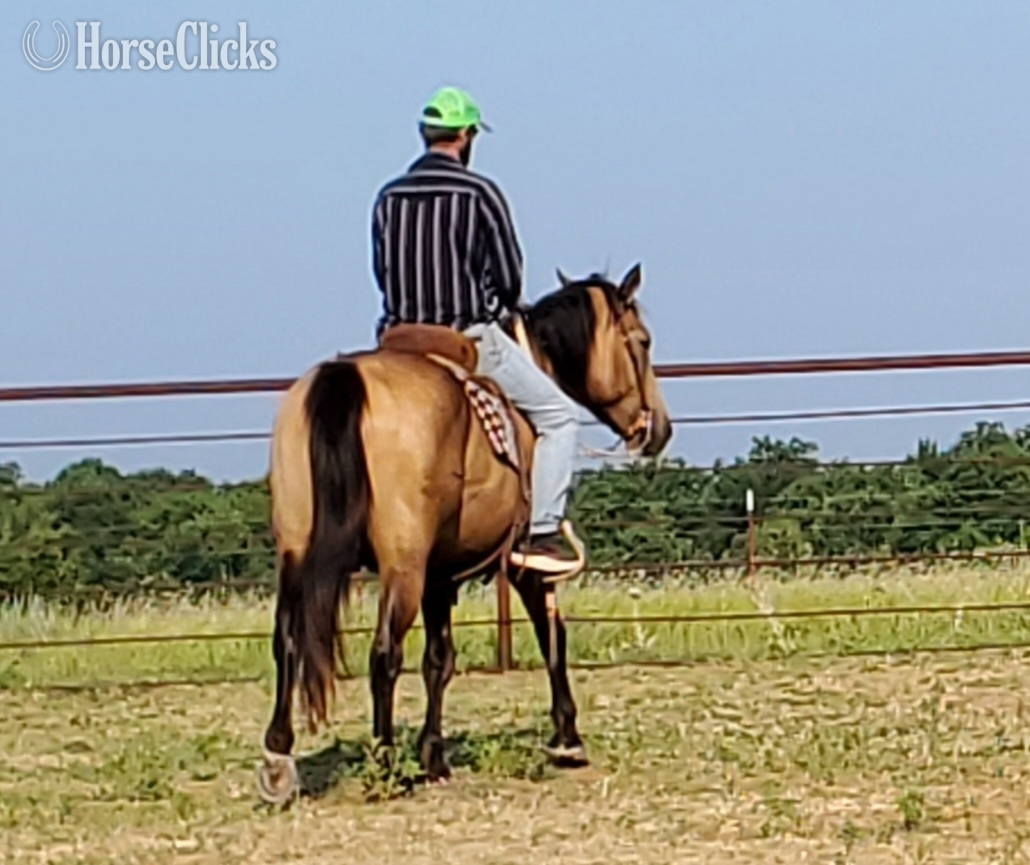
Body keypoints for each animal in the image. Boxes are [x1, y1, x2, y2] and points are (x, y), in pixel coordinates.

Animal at [257, 263, 673, 804]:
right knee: (384, 655)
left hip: (296, 553)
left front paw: (434, 755)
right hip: (402, 565)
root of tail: (344, 377)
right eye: (642, 341)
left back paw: (278, 761)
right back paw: (384, 766)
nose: (659, 429)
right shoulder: (519, 563)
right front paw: (567, 738)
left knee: (287, 641)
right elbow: (551, 633)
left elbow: (440, 659)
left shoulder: (440, 575)